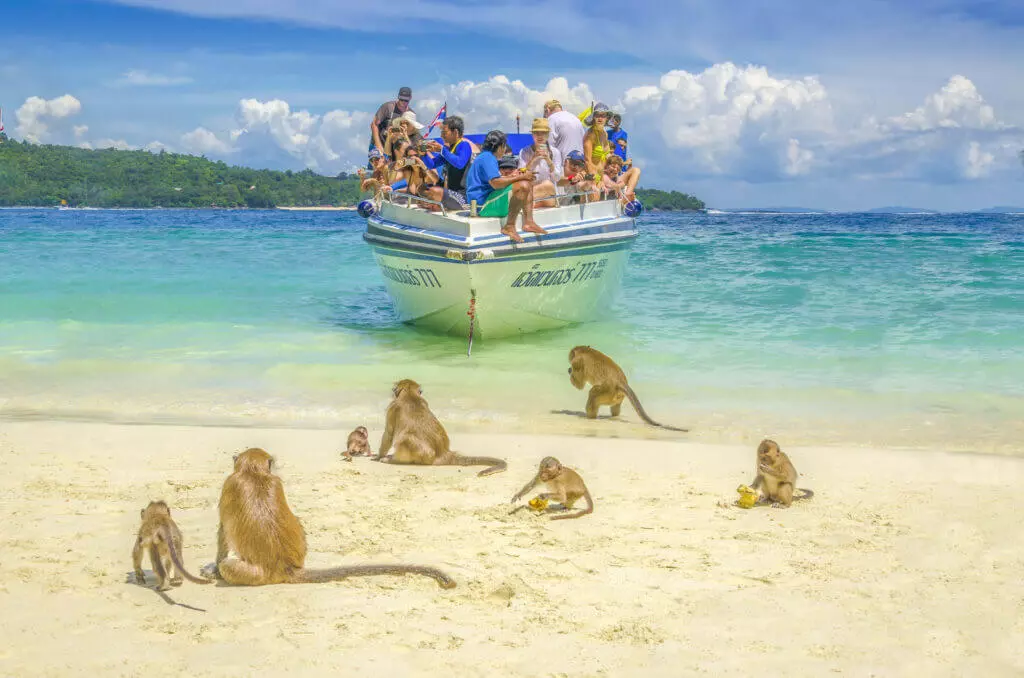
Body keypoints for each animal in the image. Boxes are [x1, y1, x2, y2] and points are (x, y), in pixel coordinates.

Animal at [205, 446, 454, 589]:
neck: (253, 473)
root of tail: (286, 568)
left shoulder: (229, 485)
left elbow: (223, 533)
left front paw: (214, 568)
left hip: (252, 574)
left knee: (229, 564)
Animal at [374, 378, 505, 481]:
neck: (409, 395)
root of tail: (444, 453)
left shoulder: (392, 408)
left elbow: (388, 434)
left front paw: (379, 456)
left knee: (403, 439)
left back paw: (395, 460)